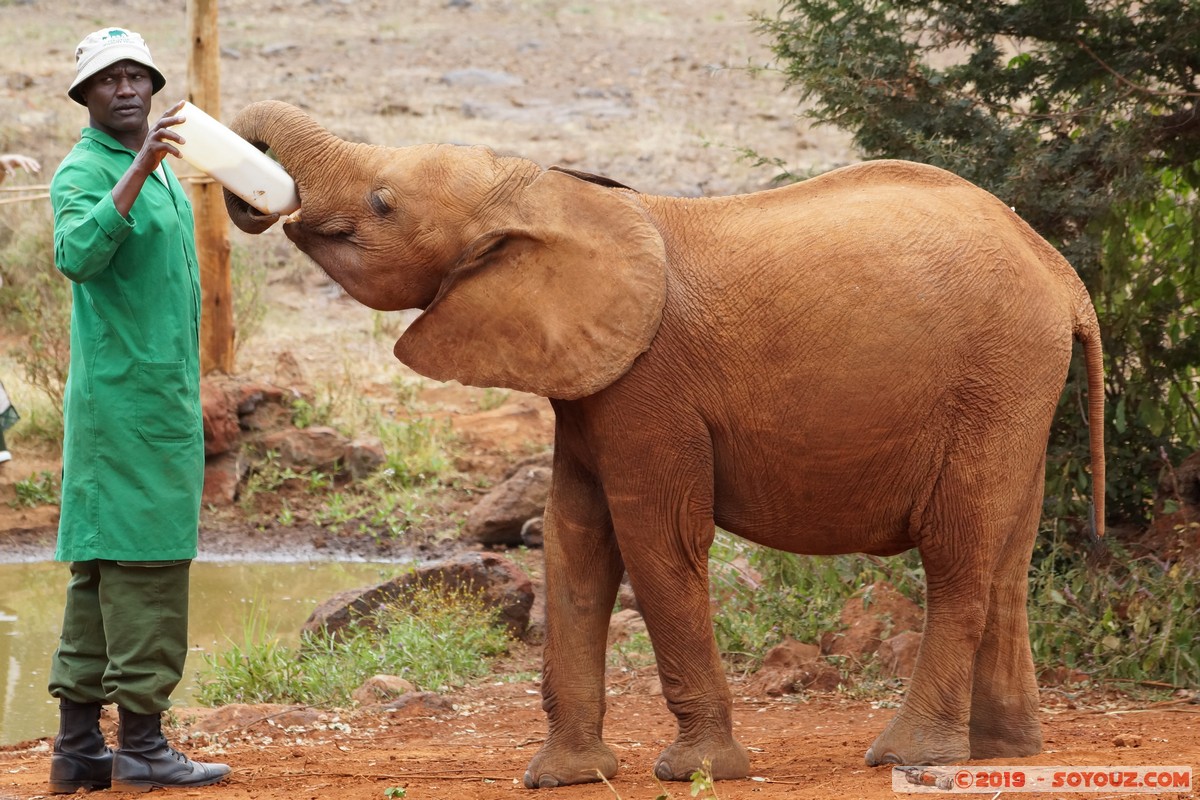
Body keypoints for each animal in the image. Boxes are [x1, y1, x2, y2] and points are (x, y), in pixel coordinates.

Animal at [222, 100, 1106, 787]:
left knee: (956, 552)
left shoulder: (650, 385)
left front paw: (697, 771)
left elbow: (655, 540)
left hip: (994, 376)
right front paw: (563, 777)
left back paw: (908, 756)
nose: (257, 195)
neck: (547, 192)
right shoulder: (589, 385)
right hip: (1017, 388)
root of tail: (1063, 276)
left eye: (381, 202)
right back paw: (1007, 751)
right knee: (1009, 554)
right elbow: (575, 542)